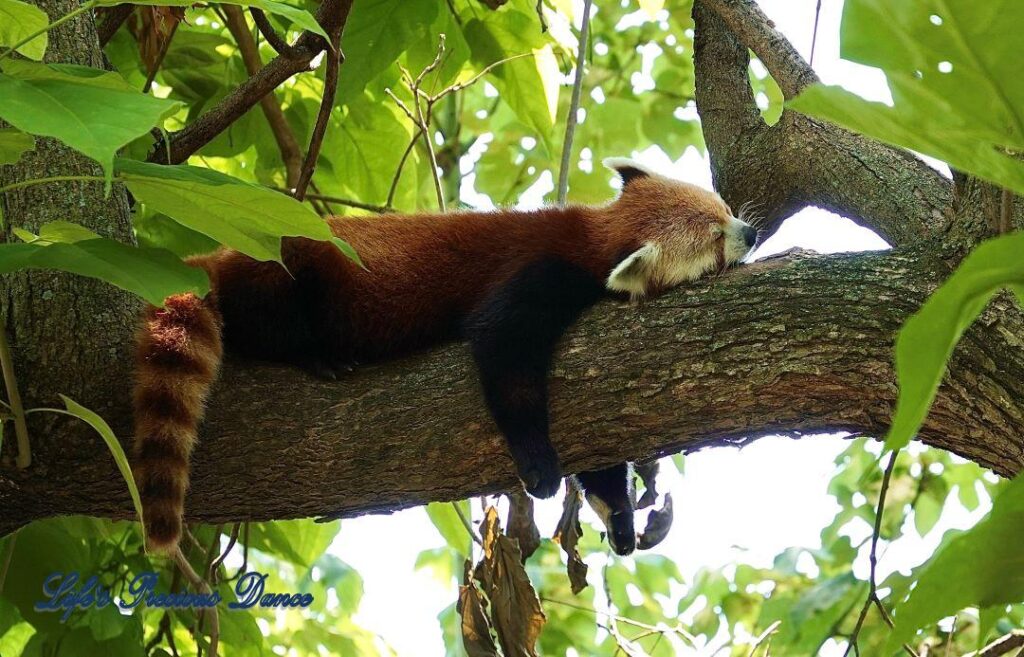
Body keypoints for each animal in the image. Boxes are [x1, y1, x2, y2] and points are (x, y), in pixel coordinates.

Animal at [132, 157, 757, 552]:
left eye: (723, 209)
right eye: (712, 238)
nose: (749, 233)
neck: (594, 235)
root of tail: (221, 256)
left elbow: (601, 453)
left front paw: (620, 516)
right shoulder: (536, 276)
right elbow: (502, 355)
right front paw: (539, 468)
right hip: (285, 271)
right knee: (269, 320)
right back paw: (316, 354)